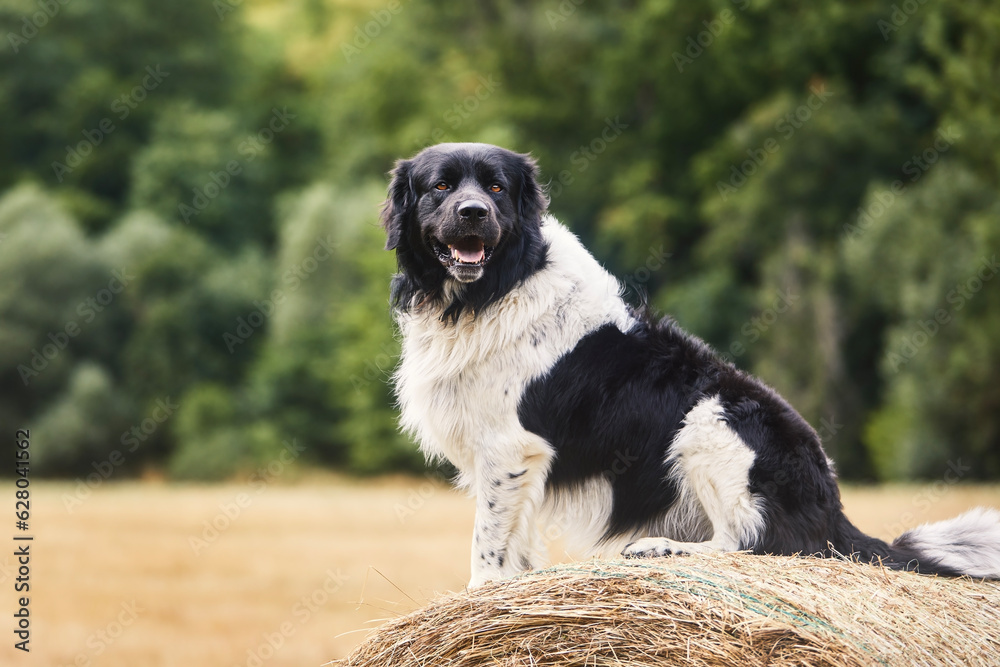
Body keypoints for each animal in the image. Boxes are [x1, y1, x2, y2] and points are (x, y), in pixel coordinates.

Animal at [380, 142, 1000, 588]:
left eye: (496, 187)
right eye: (440, 186)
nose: (473, 213)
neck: (490, 291)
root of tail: (834, 511)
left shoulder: (510, 448)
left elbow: (487, 542)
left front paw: (481, 593)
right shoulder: (513, 462)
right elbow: (516, 542)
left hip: (708, 420)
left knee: (753, 543)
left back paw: (661, 548)